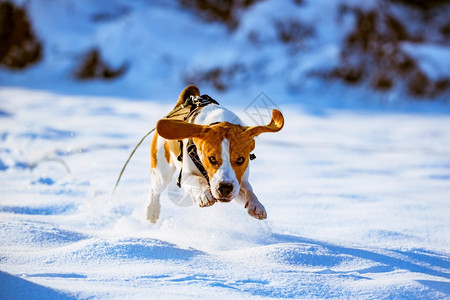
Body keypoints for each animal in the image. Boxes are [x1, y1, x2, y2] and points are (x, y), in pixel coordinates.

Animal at [146, 84, 284, 223]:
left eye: (241, 159)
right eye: (212, 158)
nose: (225, 188)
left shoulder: (239, 181)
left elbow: (248, 191)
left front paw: (256, 205)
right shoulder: (185, 176)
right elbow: (197, 180)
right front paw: (204, 194)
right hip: (161, 172)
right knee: (154, 189)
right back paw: (152, 211)